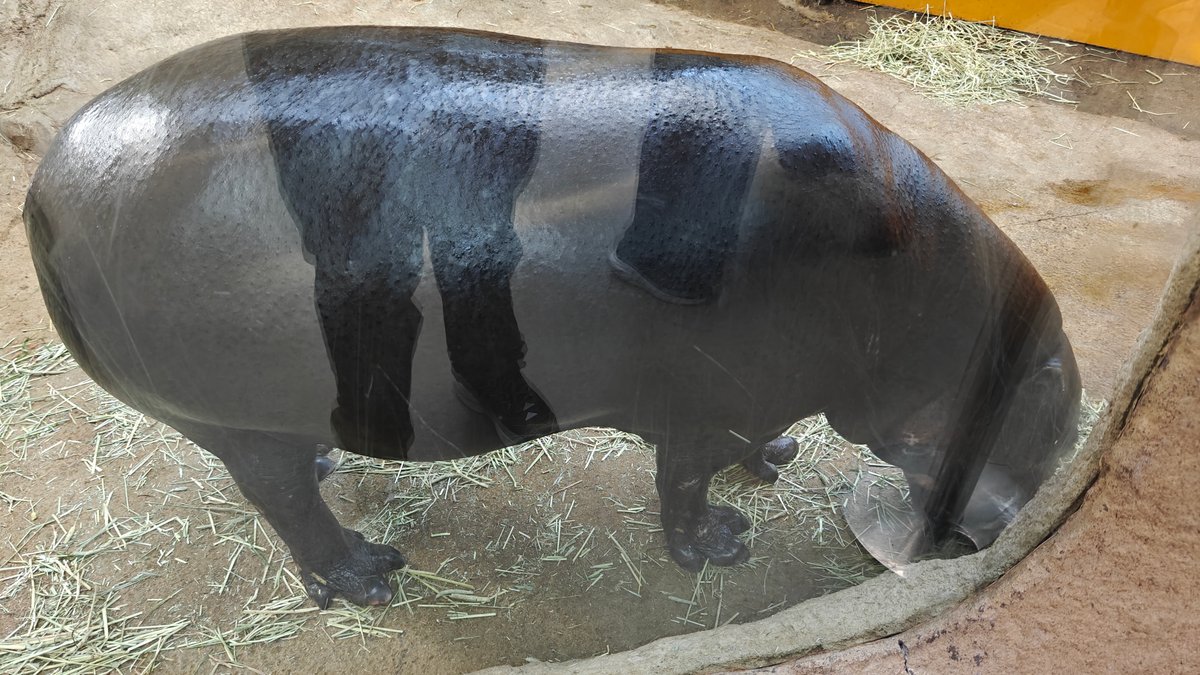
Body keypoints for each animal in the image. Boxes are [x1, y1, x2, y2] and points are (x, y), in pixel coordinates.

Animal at [24, 27, 1081, 609]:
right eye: (1060, 415)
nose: (1001, 532)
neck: (935, 308)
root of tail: (44, 185)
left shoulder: (743, 400)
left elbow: (740, 446)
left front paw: (776, 465)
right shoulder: (709, 406)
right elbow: (684, 482)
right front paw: (723, 546)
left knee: (284, 476)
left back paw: (333, 468)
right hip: (232, 415)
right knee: (284, 506)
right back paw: (370, 576)